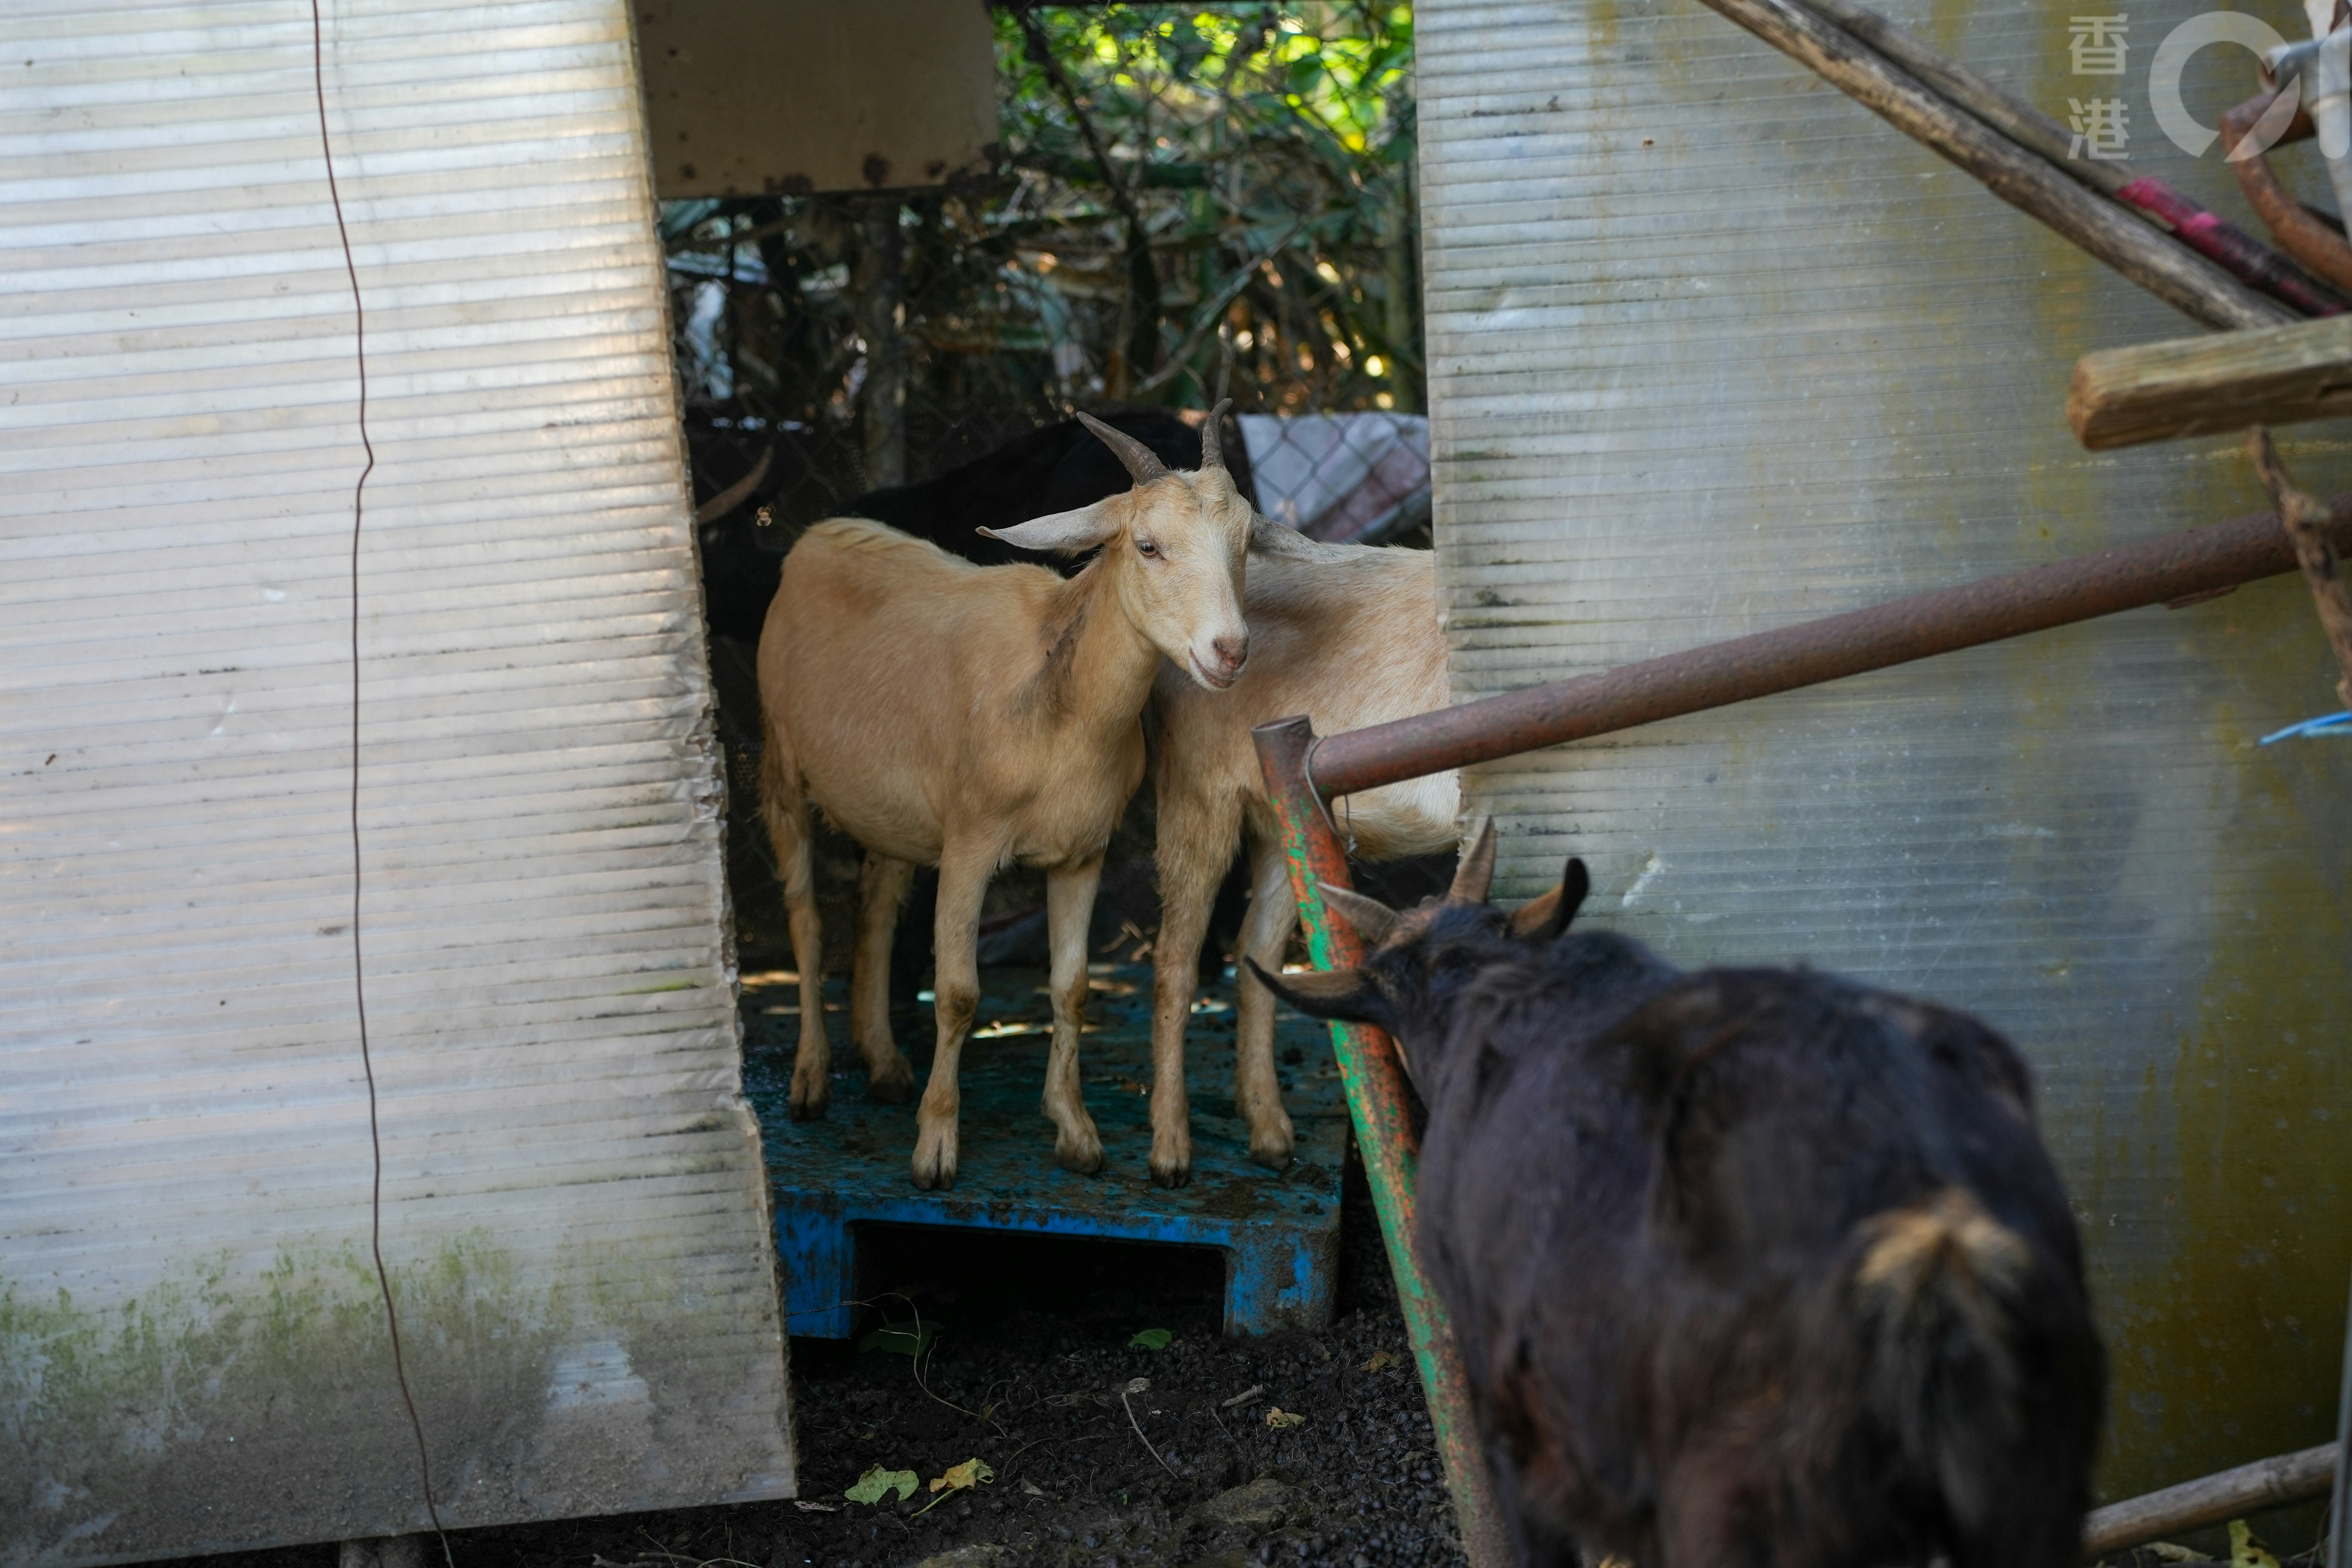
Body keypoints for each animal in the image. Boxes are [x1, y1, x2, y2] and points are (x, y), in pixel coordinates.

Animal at [762, 409, 1289, 1189]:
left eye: (1246, 543)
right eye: (1148, 545)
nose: (1229, 651)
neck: (1061, 706)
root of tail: (816, 537)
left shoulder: (1082, 852)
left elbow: (1071, 986)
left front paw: (1076, 1131)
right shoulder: (970, 844)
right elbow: (958, 994)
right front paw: (936, 1148)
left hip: (890, 811)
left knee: (876, 908)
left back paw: (884, 1064)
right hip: (782, 765)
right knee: (804, 917)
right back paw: (812, 1079)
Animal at [1143, 541, 1449, 1189]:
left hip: (1280, 817)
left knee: (1255, 949)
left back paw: (1269, 1133)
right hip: (1196, 794)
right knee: (1175, 961)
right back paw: (1170, 1151)